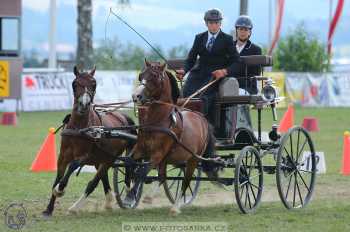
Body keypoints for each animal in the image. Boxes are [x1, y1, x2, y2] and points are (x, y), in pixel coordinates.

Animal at [42, 65, 137, 216]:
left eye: (94, 84)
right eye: (75, 84)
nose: (84, 104)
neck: (79, 128)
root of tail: (123, 117)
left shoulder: (85, 156)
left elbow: (73, 166)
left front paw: (60, 189)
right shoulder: (62, 156)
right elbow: (58, 177)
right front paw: (49, 209)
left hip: (109, 159)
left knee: (94, 182)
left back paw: (75, 207)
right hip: (101, 159)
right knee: (103, 178)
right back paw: (108, 202)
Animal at [130, 59, 215, 214]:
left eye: (155, 77)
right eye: (141, 75)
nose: (136, 96)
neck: (158, 120)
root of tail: (201, 118)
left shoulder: (157, 154)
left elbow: (142, 171)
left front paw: (129, 196)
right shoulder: (140, 150)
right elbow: (131, 165)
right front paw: (130, 192)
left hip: (193, 159)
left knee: (186, 181)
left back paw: (175, 207)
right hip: (168, 159)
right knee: (162, 177)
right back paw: (149, 198)